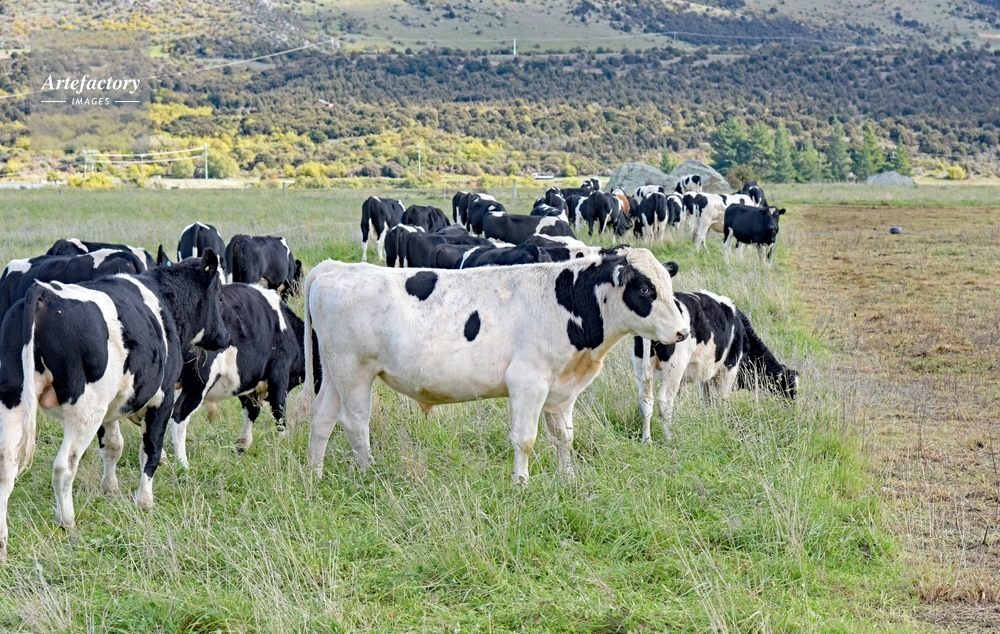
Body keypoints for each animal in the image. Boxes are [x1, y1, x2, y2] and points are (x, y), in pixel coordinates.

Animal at [169, 283, 322, 468]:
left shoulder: (248, 382)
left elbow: (252, 411)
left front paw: (242, 445)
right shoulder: (279, 375)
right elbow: (279, 412)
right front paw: (285, 444)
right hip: (198, 383)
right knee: (178, 416)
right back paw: (182, 464)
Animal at [299, 247, 689, 484]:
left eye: (669, 286)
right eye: (645, 290)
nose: (682, 331)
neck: (568, 300)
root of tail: (335, 268)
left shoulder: (561, 390)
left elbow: (564, 437)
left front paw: (569, 478)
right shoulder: (528, 381)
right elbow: (525, 439)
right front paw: (522, 483)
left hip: (334, 373)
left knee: (322, 419)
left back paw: (315, 475)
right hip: (354, 370)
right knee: (354, 422)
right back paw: (369, 473)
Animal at [633, 289, 797, 443]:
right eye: (791, 388)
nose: (792, 409)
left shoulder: (704, 374)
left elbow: (706, 402)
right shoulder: (729, 368)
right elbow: (722, 401)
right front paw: (724, 426)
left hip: (641, 365)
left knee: (645, 400)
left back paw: (647, 441)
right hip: (675, 367)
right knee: (664, 401)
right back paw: (669, 439)